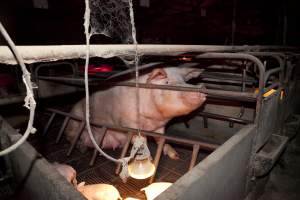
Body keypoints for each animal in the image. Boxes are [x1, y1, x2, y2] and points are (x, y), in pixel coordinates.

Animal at [65, 67, 206, 159]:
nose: (201, 87)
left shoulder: (159, 127)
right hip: (74, 122)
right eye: (167, 83)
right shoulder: (129, 124)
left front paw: (175, 155)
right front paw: (148, 162)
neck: (152, 119)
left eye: (184, 81)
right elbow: (142, 143)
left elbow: (161, 140)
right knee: (72, 137)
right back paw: (82, 149)